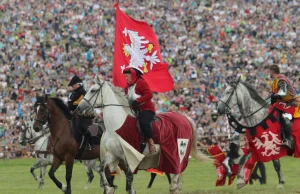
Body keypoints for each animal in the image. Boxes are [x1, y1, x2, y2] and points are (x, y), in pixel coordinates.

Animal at [75, 75, 211, 194]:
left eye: (93, 90)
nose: (79, 109)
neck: (116, 126)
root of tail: (185, 117)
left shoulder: (129, 155)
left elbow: (129, 179)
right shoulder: (113, 154)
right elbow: (101, 168)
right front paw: (109, 188)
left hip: (178, 150)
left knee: (178, 167)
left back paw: (173, 186)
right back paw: (177, 186)